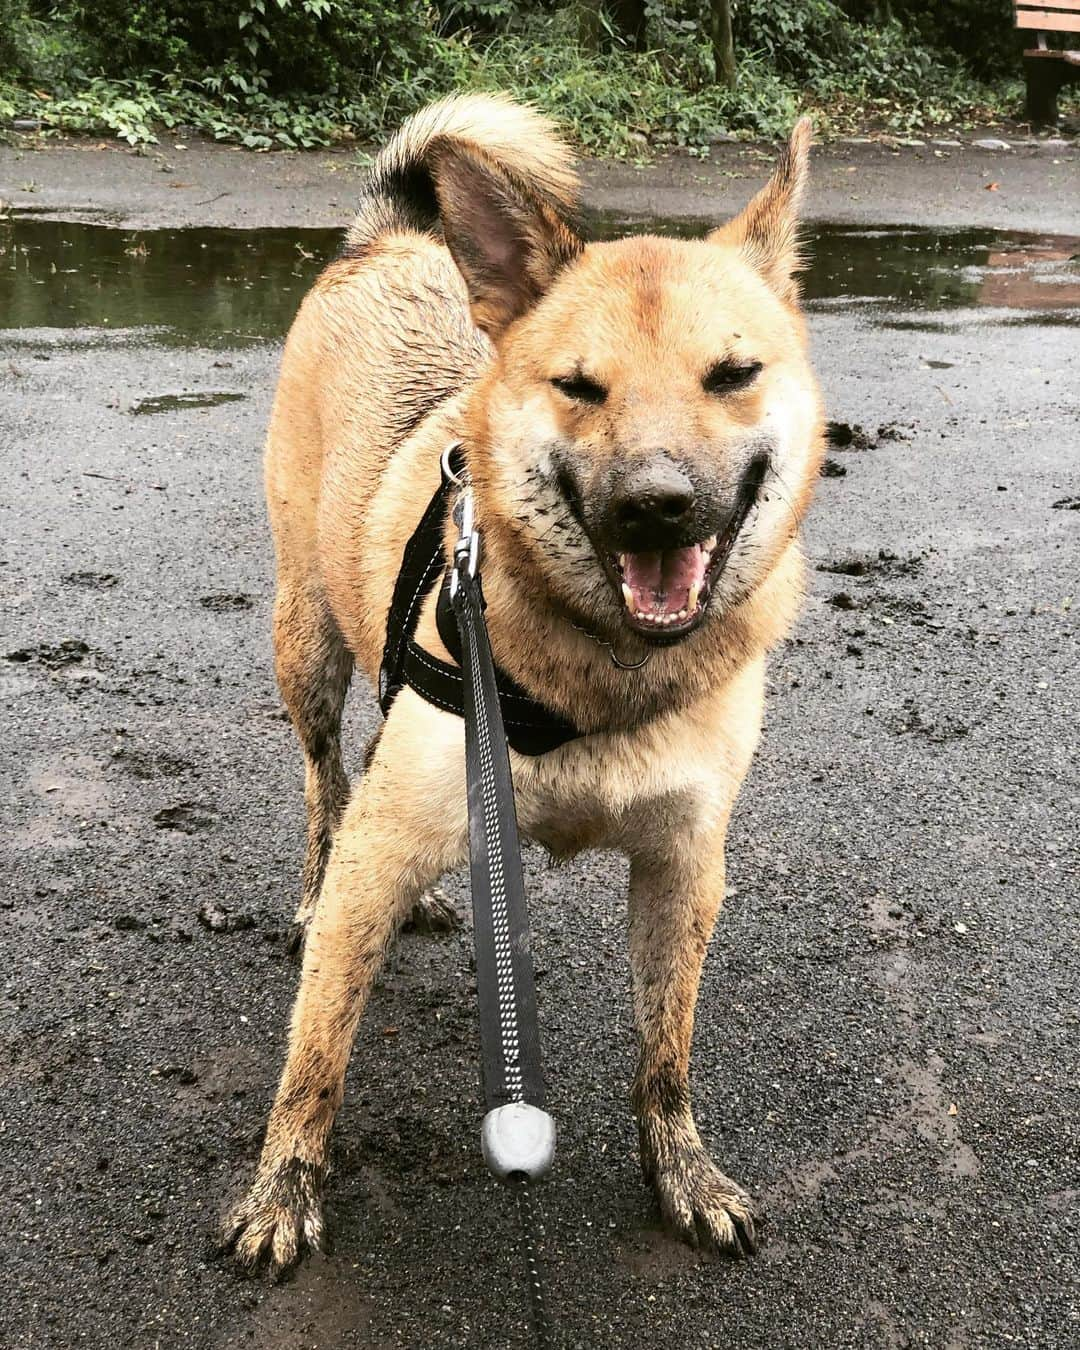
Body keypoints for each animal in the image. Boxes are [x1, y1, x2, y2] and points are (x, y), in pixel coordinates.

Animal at [224, 95, 820, 1274]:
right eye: (579, 387)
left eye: (733, 375)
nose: (656, 505)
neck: (605, 665)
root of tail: (392, 238)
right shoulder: (380, 860)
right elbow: (316, 1055)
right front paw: (284, 1184)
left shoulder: (685, 869)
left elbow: (666, 1051)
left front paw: (681, 1170)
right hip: (305, 638)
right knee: (325, 780)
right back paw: (312, 878)